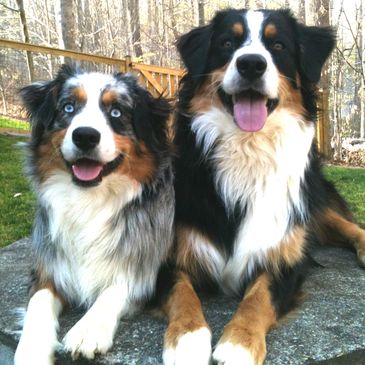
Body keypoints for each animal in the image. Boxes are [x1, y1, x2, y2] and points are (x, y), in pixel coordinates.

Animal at [161, 8, 364, 364]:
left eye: (278, 45)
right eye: (227, 43)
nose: (252, 64)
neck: (248, 149)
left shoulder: (285, 256)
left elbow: (258, 298)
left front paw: (238, 345)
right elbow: (181, 291)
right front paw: (187, 339)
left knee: (349, 226)